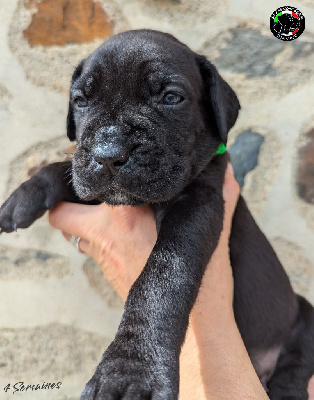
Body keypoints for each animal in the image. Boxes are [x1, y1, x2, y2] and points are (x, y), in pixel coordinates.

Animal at [0, 29, 314, 398]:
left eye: (171, 97)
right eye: (80, 101)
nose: (108, 153)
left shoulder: (198, 205)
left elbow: (162, 275)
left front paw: (131, 370)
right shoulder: (100, 190)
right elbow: (71, 173)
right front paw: (26, 193)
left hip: (303, 318)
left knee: (295, 366)